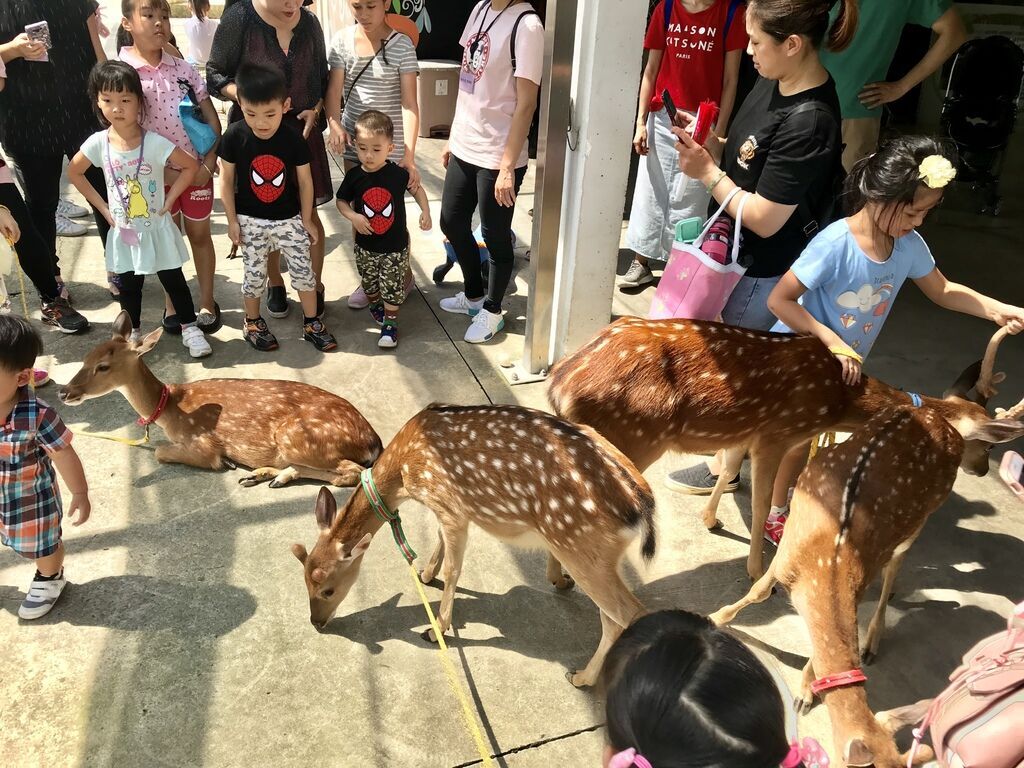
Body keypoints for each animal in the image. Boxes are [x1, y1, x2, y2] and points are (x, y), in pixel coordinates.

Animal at [58, 311, 385, 487]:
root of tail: (373, 440)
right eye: (86, 357)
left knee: (353, 473)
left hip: (299, 437)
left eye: (103, 366)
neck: (169, 409)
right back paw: (263, 475)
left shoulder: (202, 443)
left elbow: (160, 452)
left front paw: (224, 461)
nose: (64, 391)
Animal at [288, 405, 655, 688]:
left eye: (327, 589)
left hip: (581, 545)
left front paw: (436, 628)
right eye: (304, 580)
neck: (403, 473)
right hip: (596, 552)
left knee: (625, 613)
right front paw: (426, 574)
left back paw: (582, 678)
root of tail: (641, 504)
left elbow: (454, 568)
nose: (315, 622)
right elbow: (438, 539)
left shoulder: (450, 505)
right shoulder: (450, 510)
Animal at [552, 315, 1024, 581]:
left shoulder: (748, 432)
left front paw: (710, 520)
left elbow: (729, 470)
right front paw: (757, 569)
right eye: (980, 444)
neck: (836, 402)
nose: (983, 471)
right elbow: (761, 502)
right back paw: (564, 580)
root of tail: (560, 383)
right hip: (633, 436)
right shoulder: (777, 433)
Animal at [708, 405, 1024, 765]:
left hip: (921, 515)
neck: (825, 571)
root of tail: (939, 418)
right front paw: (715, 617)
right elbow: (758, 591)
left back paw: (872, 641)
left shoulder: (856, 583)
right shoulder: (787, 548)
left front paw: (805, 692)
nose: (984, 470)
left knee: (895, 565)